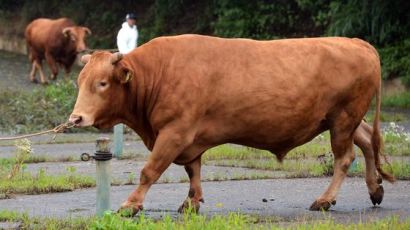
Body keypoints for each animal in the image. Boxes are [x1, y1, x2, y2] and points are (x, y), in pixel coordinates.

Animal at [69, 34, 396, 216]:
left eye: (102, 83)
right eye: (80, 81)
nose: (76, 118)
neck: (157, 73)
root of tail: (355, 42)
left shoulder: (175, 132)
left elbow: (150, 170)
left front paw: (130, 205)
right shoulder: (190, 138)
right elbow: (193, 170)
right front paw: (191, 202)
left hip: (343, 119)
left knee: (345, 157)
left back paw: (325, 200)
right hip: (345, 120)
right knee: (367, 141)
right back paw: (375, 189)